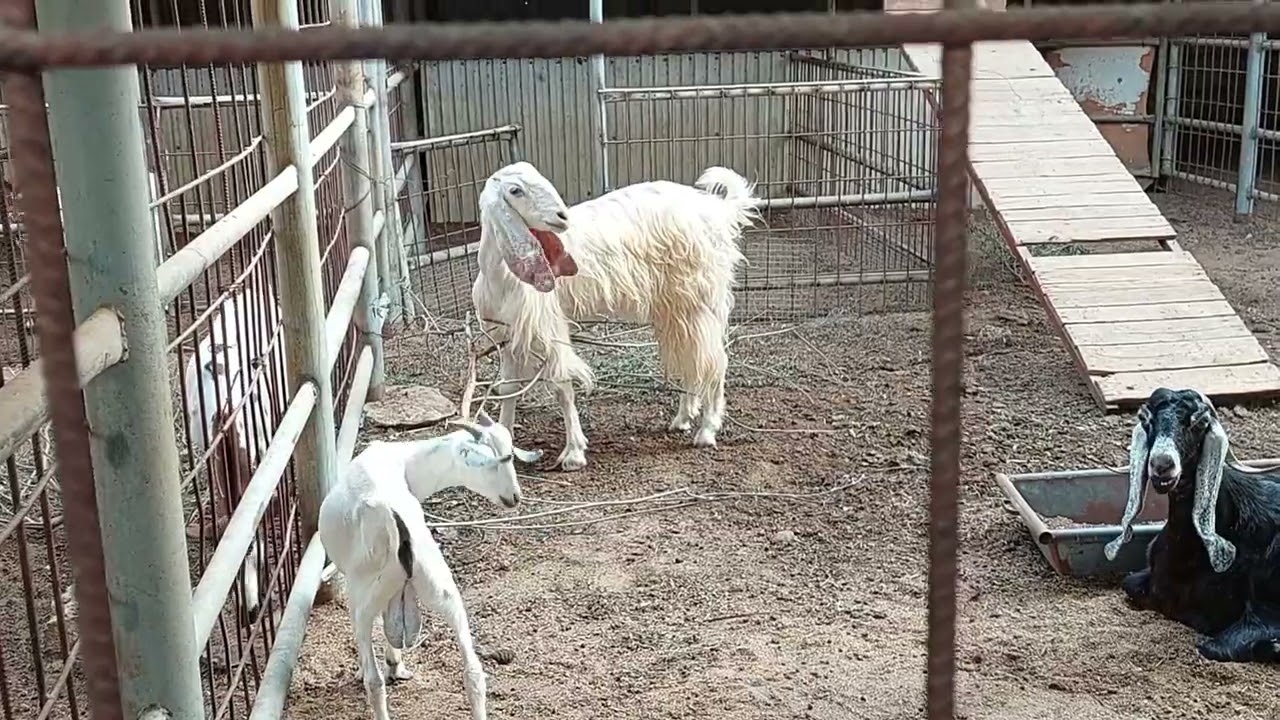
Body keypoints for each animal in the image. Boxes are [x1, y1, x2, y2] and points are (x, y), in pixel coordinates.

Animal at [318, 410, 540, 720]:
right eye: (492, 462)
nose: (514, 497)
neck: (403, 461)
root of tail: (393, 519)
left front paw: (391, 664)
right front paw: (396, 664)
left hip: (364, 596)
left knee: (373, 680)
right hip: (440, 586)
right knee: (473, 671)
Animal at [473, 161, 759, 471]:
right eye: (516, 190)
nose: (563, 217)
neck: (501, 275)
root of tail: (719, 211)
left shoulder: (549, 327)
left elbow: (562, 386)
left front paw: (574, 453)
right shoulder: (507, 334)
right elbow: (507, 388)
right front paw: (504, 439)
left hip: (702, 298)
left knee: (715, 361)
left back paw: (707, 430)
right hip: (677, 306)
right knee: (691, 358)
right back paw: (683, 418)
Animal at [1105, 387, 1280, 663]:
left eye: (1199, 422)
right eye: (1146, 420)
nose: (1162, 465)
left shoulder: (1265, 611)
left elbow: (1214, 646)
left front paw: (1272, 646)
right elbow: (1129, 583)